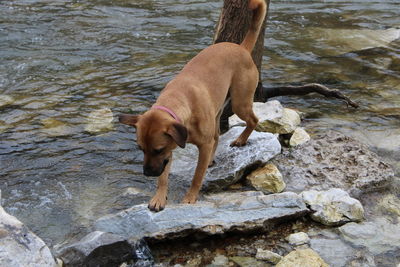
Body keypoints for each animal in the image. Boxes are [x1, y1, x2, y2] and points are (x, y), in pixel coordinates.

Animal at [120, 0, 268, 213]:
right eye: (141, 148)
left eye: (157, 149)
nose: (147, 173)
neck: (180, 102)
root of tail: (242, 48)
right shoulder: (170, 150)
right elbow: (163, 178)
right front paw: (159, 198)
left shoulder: (195, 147)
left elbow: (197, 175)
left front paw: (190, 198)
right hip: (218, 111)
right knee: (217, 136)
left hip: (240, 102)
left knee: (253, 120)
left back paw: (241, 140)